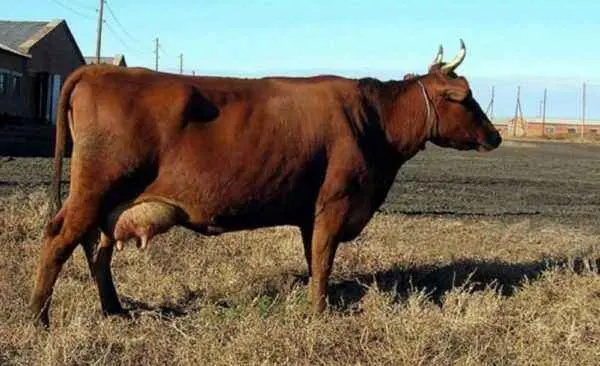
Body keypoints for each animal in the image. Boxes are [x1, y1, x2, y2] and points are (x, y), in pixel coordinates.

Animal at [31, 40, 502, 326]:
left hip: (109, 202)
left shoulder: (312, 214)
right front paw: (320, 313)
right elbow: (324, 260)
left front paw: (317, 305)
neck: (373, 121)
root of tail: (96, 72)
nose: (495, 136)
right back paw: (38, 316)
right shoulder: (335, 203)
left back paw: (114, 310)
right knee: (59, 240)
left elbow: (314, 259)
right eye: (465, 97)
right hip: (94, 191)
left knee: (96, 249)